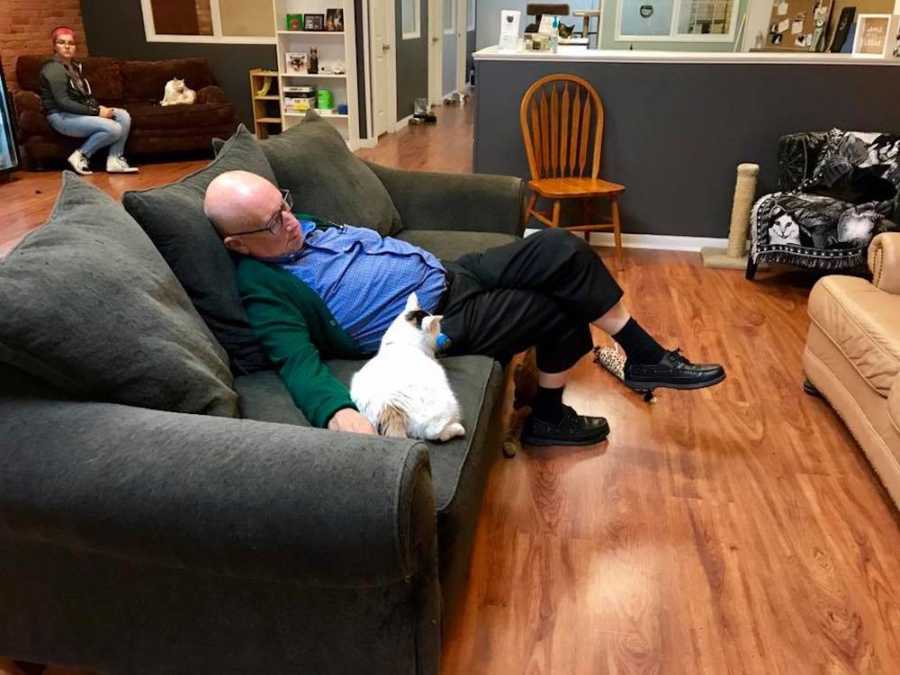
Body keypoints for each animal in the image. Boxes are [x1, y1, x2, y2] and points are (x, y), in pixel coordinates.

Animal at [350, 292, 468, 440]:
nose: (443, 335)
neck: (400, 342)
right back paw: (458, 429)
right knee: (434, 433)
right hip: (446, 405)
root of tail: (390, 407)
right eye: (437, 327)